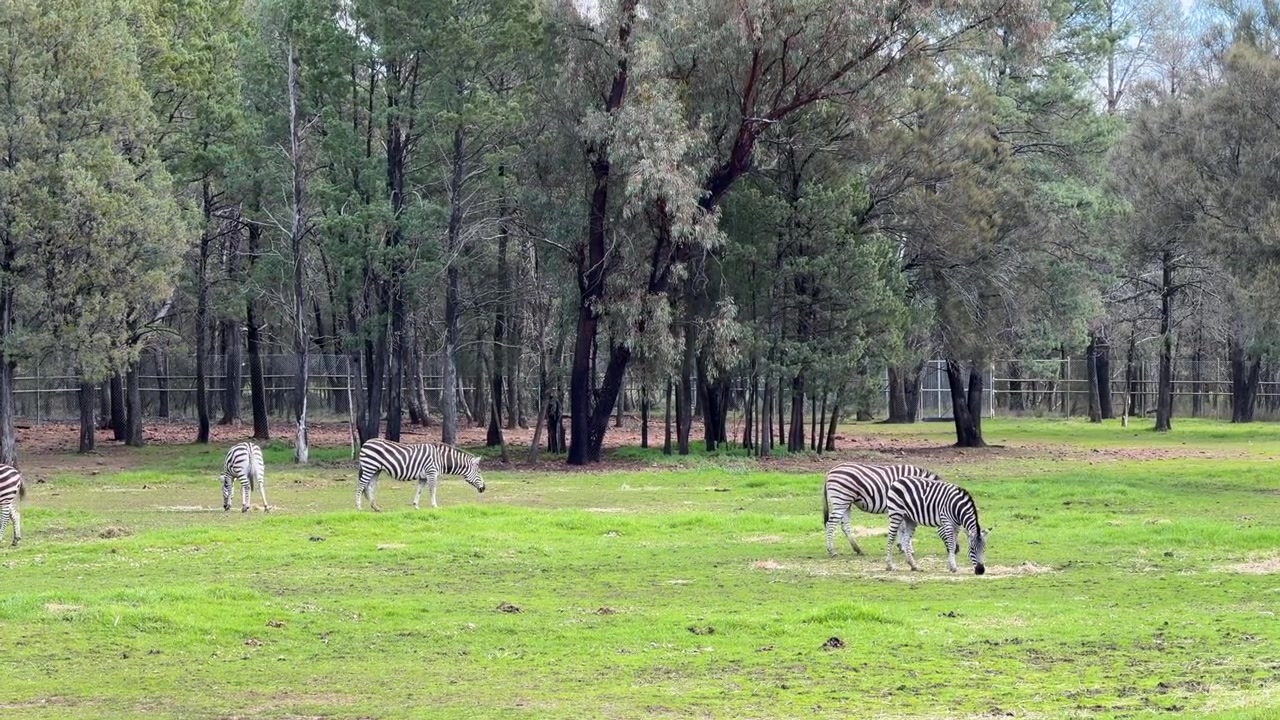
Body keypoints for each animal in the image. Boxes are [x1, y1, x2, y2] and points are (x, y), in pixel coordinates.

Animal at [355, 438, 486, 511]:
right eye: (479, 472)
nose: (484, 488)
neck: (441, 459)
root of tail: (366, 442)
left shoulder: (423, 477)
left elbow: (419, 490)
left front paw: (415, 506)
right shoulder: (431, 472)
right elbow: (433, 490)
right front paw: (434, 506)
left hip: (376, 470)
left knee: (370, 486)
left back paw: (375, 507)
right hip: (369, 467)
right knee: (360, 486)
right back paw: (358, 507)